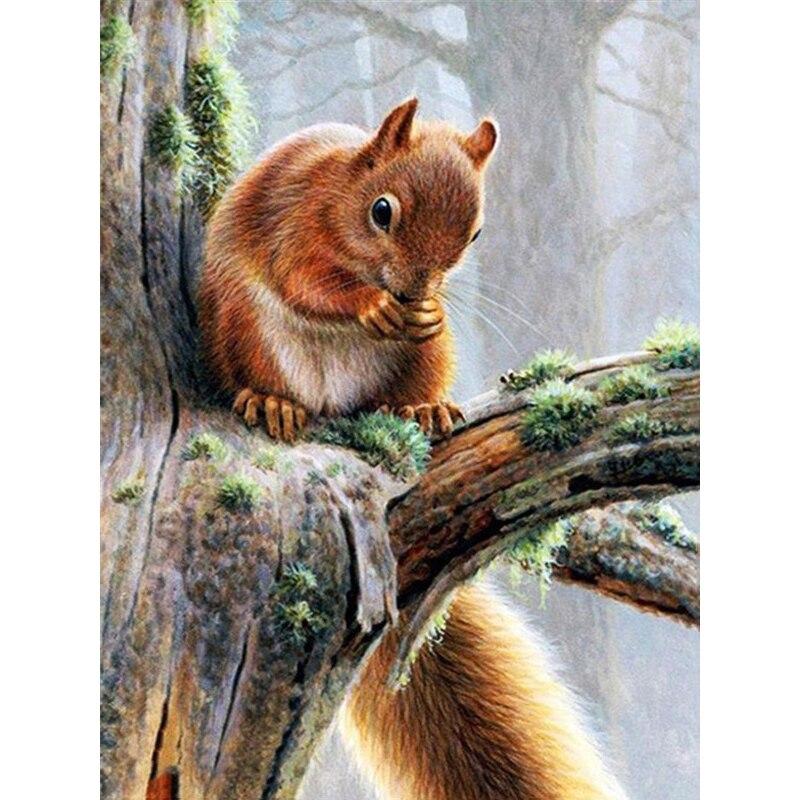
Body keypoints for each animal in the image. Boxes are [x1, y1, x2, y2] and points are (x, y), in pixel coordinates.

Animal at [198, 100, 627, 799]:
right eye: (382, 211)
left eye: (476, 234)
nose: (413, 291)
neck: (341, 196)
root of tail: (334, 406)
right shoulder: (293, 219)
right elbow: (304, 281)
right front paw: (370, 306)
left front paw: (418, 312)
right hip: (242, 324)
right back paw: (271, 402)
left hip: (426, 359)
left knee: (405, 390)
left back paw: (423, 409)